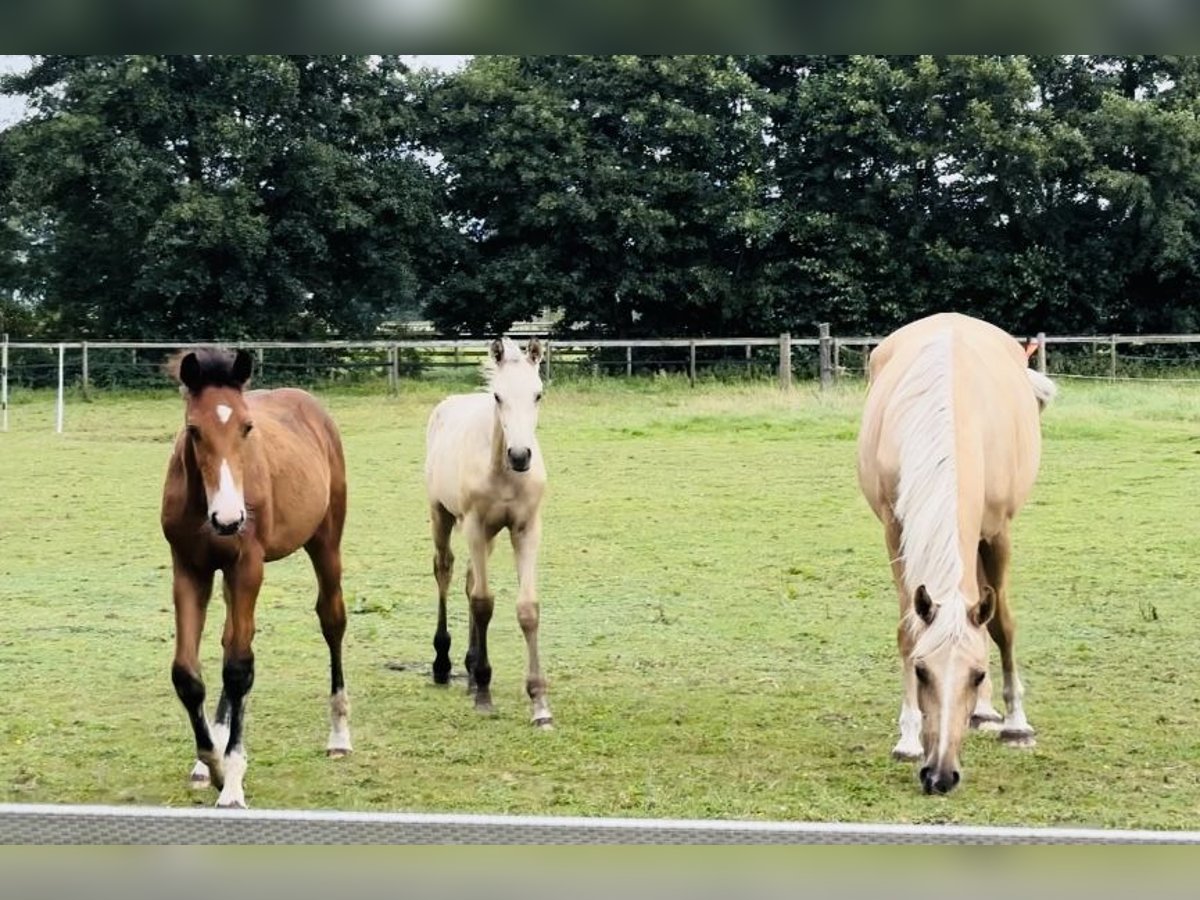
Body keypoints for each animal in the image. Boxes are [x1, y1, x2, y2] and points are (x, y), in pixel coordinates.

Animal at [159, 348, 350, 811]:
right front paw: (209, 762)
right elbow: (187, 673)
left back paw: (339, 736)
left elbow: (239, 668)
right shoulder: (189, 567)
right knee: (230, 637)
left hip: (326, 541)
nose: (229, 520)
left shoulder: (248, 566)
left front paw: (231, 781)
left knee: (332, 619)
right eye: (194, 430)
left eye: (247, 427)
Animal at [424, 336, 549, 729]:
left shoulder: (526, 528)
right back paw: (444, 665)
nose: (521, 455)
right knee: (445, 571)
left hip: (490, 535)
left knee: (466, 579)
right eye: (497, 396)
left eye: (538, 394)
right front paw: (483, 692)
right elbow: (482, 603)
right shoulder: (476, 526)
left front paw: (540, 703)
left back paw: (468, 664)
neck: (504, 472)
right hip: (442, 515)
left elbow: (527, 608)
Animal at [859, 314, 1056, 792]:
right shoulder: (895, 529)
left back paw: (990, 714)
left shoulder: (998, 532)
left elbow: (1002, 624)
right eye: (921, 671)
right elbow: (908, 629)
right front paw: (908, 738)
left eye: (978, 673)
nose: (940, 775)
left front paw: (1017, 724)